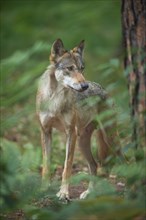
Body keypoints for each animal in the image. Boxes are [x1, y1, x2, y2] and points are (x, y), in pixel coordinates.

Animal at [36, 39, 121, 201]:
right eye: (70, 68)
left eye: (82, 69)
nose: (85, 86)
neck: (56, 99)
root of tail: (104, 89)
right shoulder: (45, 131)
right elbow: (46, 165)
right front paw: (43, 189)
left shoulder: (71, 133)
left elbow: (67, 166)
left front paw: (63, 193)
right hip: (82, 142)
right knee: (94, 166)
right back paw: (89, 193)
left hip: (109, 139)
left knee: (118, 161)